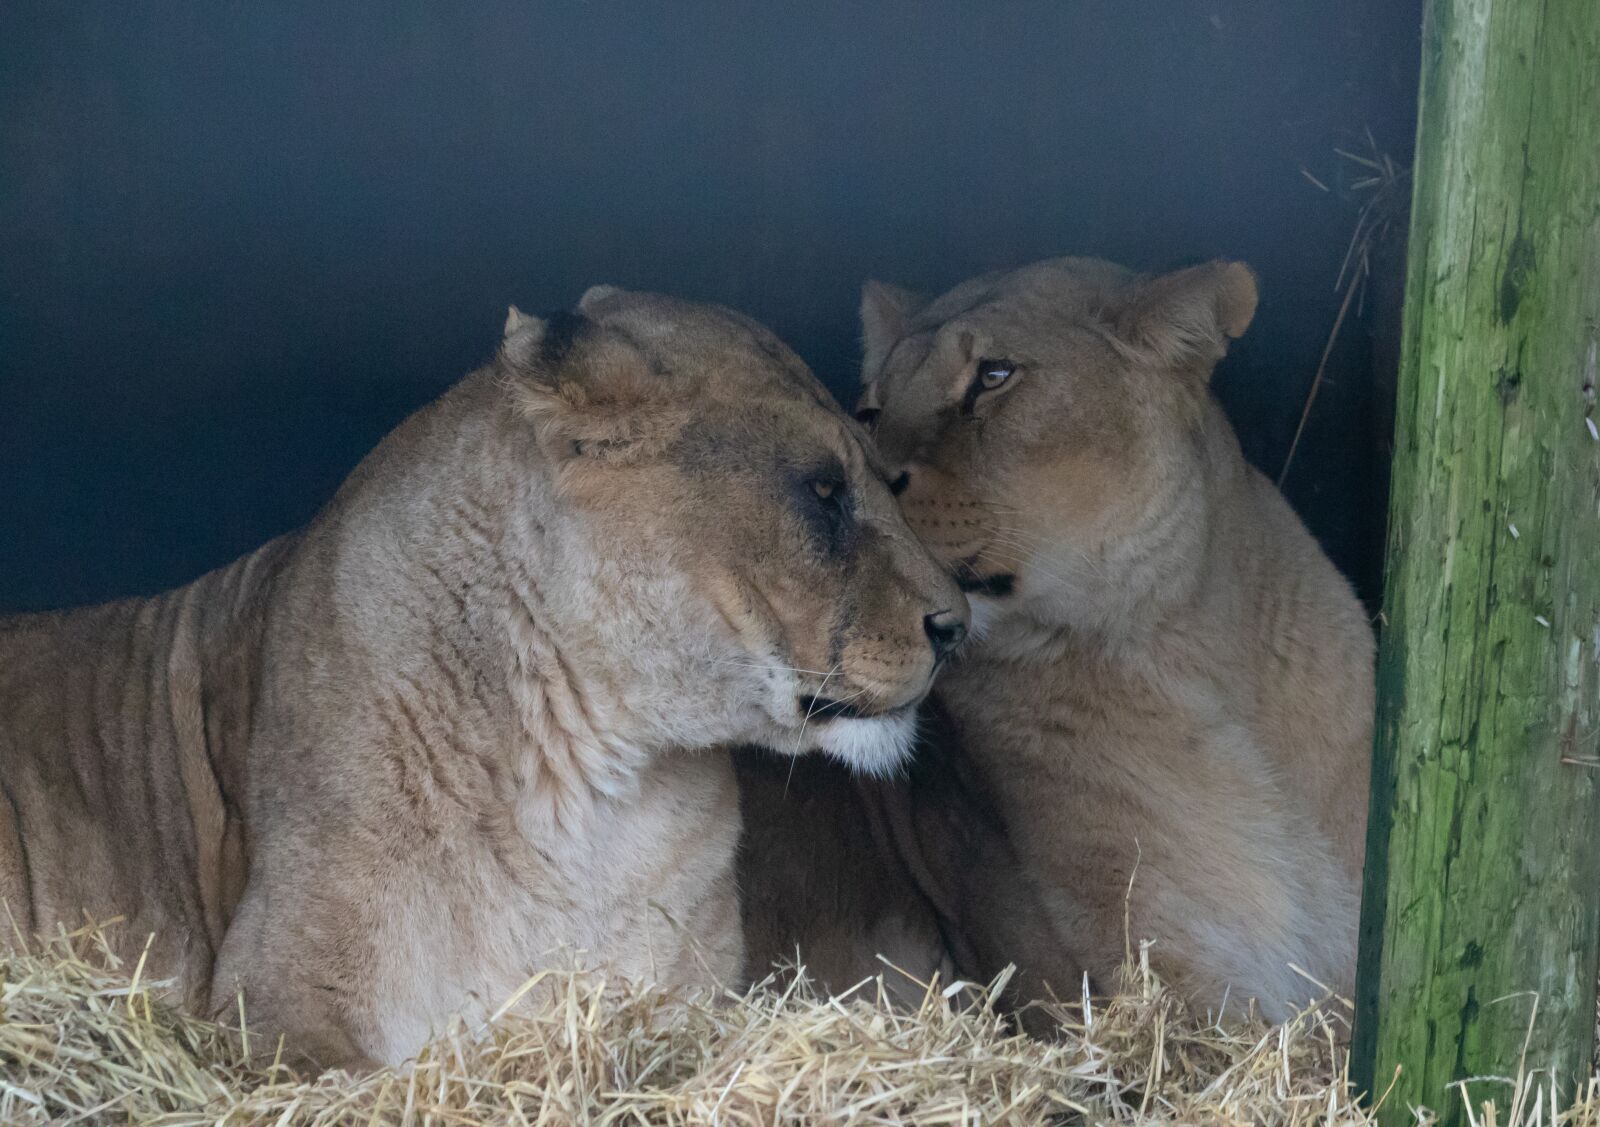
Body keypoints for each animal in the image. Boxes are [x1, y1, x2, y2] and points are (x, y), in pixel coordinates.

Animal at [0, 287, 968, 1069]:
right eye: (823, 491)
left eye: (876, 480)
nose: (956, 625)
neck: (591, 785)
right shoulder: (273, 1002)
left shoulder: (691, 991)